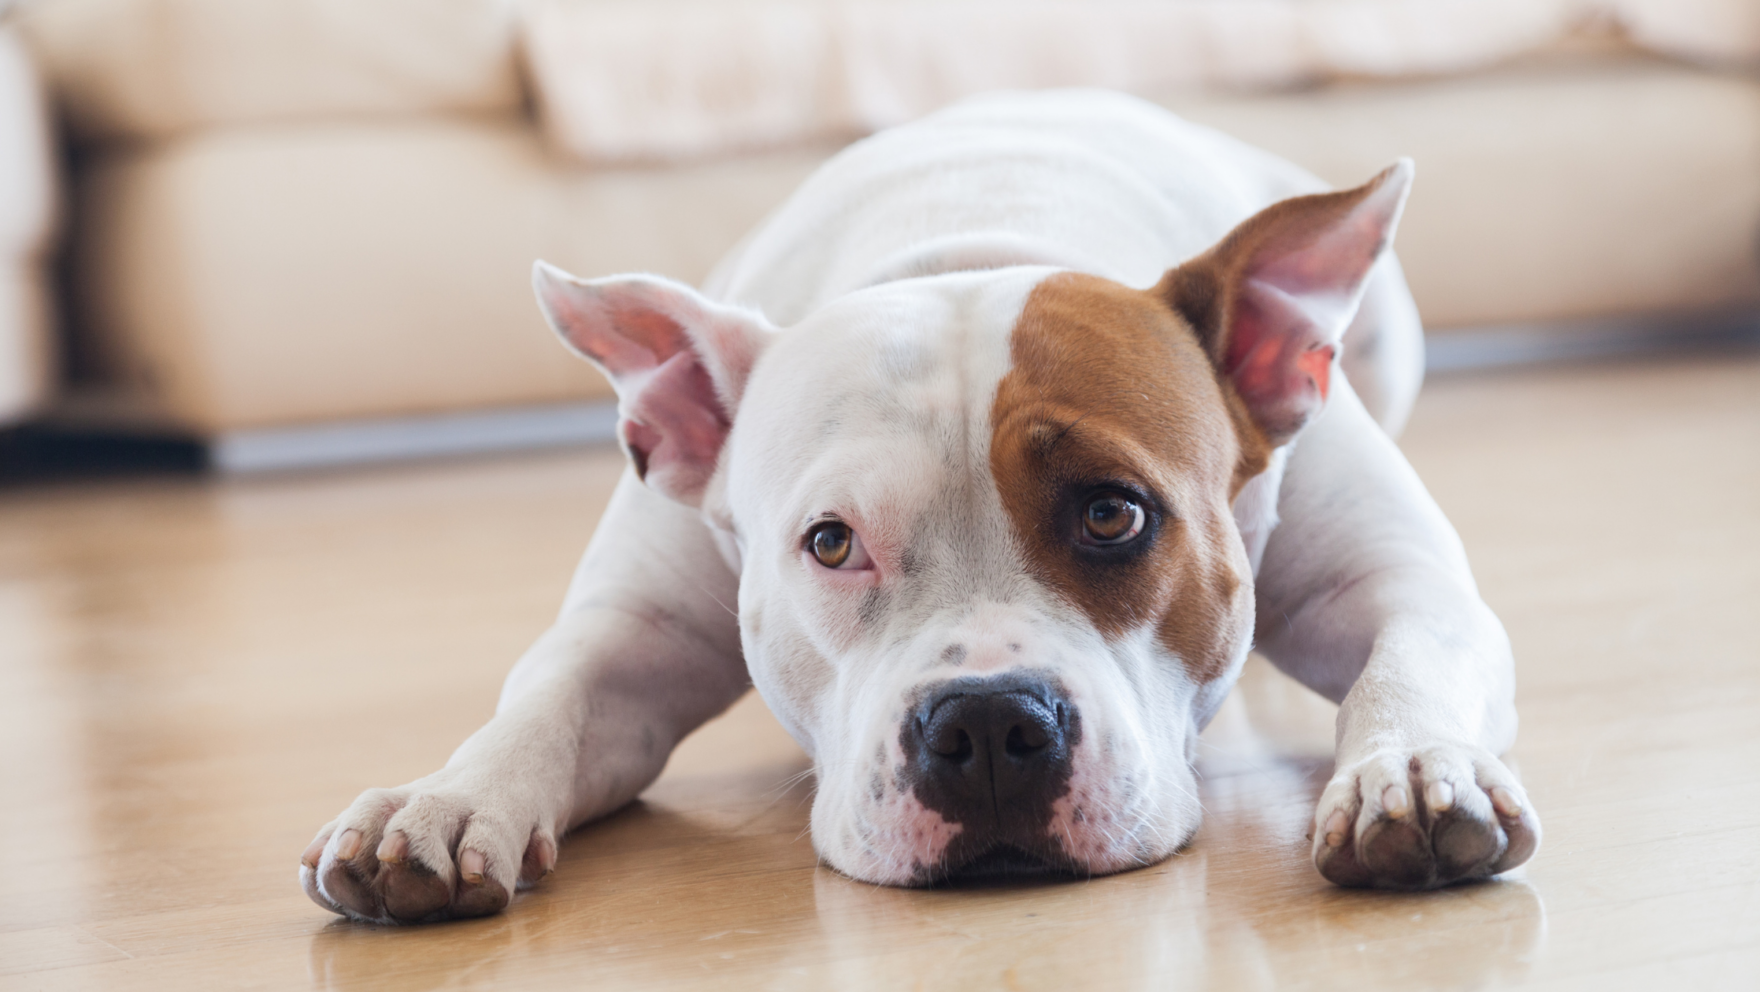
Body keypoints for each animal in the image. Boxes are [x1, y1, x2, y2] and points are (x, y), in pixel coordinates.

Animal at [295, 87, 1534, 921]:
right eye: (829, 542)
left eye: (1114, 514)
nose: (986, 726)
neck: (965, 243)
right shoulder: (633, 633)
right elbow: (543, 700)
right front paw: (448, 798)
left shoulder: (1394, 582)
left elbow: (1407, 654)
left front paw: (1408, 769)